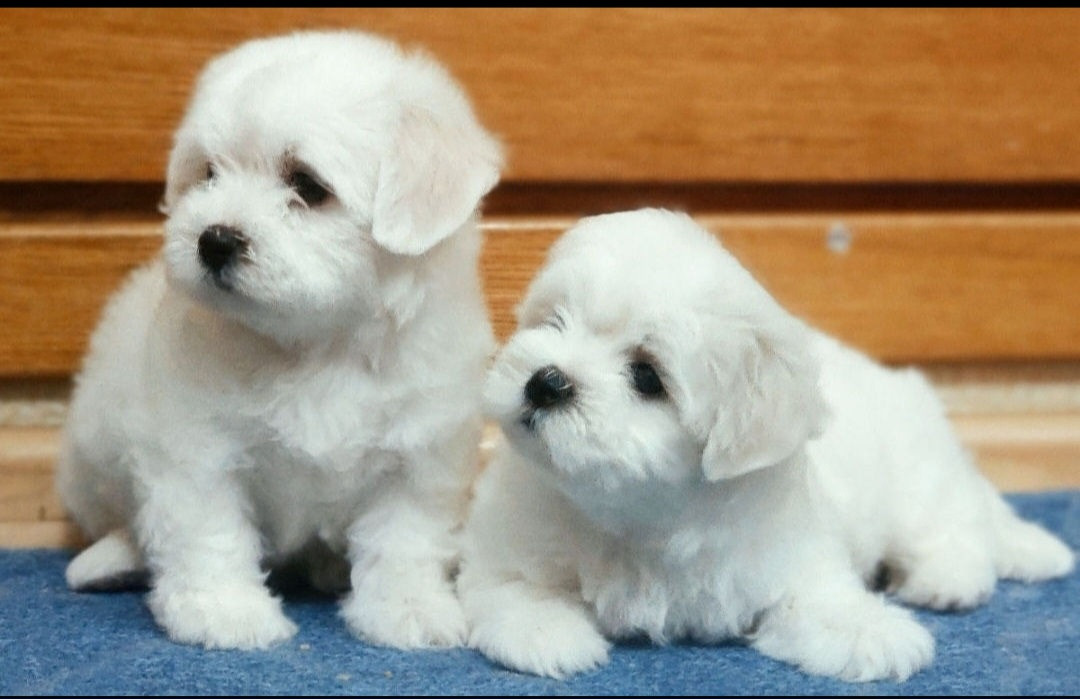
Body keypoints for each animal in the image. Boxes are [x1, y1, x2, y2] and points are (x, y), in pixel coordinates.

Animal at [55, 30, 502, 650]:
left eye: (308, 186)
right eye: (209, 173)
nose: (213, 240)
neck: (317, 345)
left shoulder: (422, 453)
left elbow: (404, 537)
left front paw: (407, 608)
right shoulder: (197, 447)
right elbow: (207, 530)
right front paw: (222, 611)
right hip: (93, 443)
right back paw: (111, 559)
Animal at [457, 208, 1074, 681]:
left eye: (647, 376)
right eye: (554, 322)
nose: (545, 381)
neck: (638, 517)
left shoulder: (790, 552)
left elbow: (819, 599)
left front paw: (872, 632)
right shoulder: (506, 545)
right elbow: (511, 588)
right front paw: (546, 632)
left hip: (916, 479)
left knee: (953, 526)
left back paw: (947, 580)